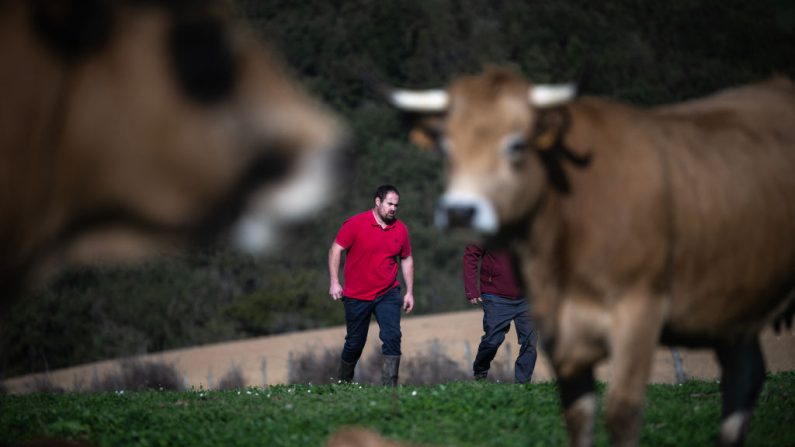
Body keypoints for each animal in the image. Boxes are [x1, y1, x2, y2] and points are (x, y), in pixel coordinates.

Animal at [386, 68, 795, 446]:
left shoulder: (639, 309)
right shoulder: (560, 324)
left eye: (517, 144)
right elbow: (578, 413)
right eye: (445, 147)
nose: (460, 211)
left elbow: (621, 409)